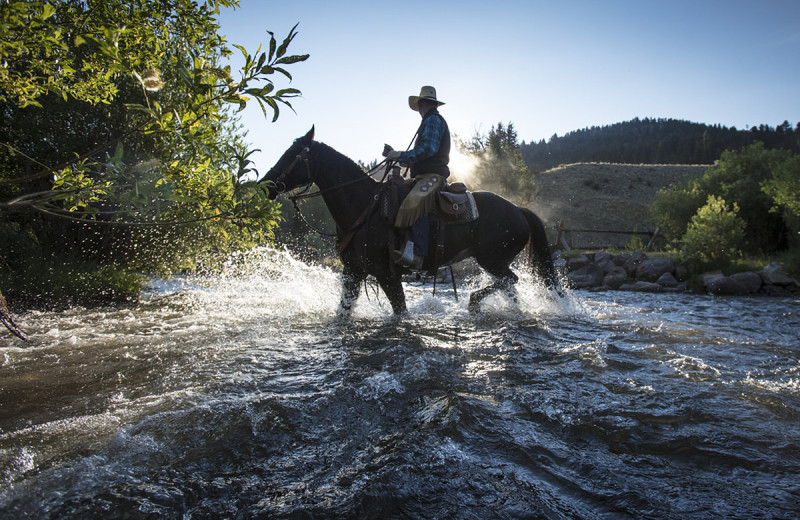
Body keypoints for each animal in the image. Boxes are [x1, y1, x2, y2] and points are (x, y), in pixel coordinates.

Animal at [260, 128, 556, 314]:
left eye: (293, 154)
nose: (266, 185)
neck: (363, 207)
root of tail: (519, 210)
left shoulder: (386, 275)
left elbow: (400, 311)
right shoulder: (353, 273)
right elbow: (342, 313)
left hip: (492, 260)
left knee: (511, 281)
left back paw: (473, 302)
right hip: (496, 262)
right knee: (511, 288)